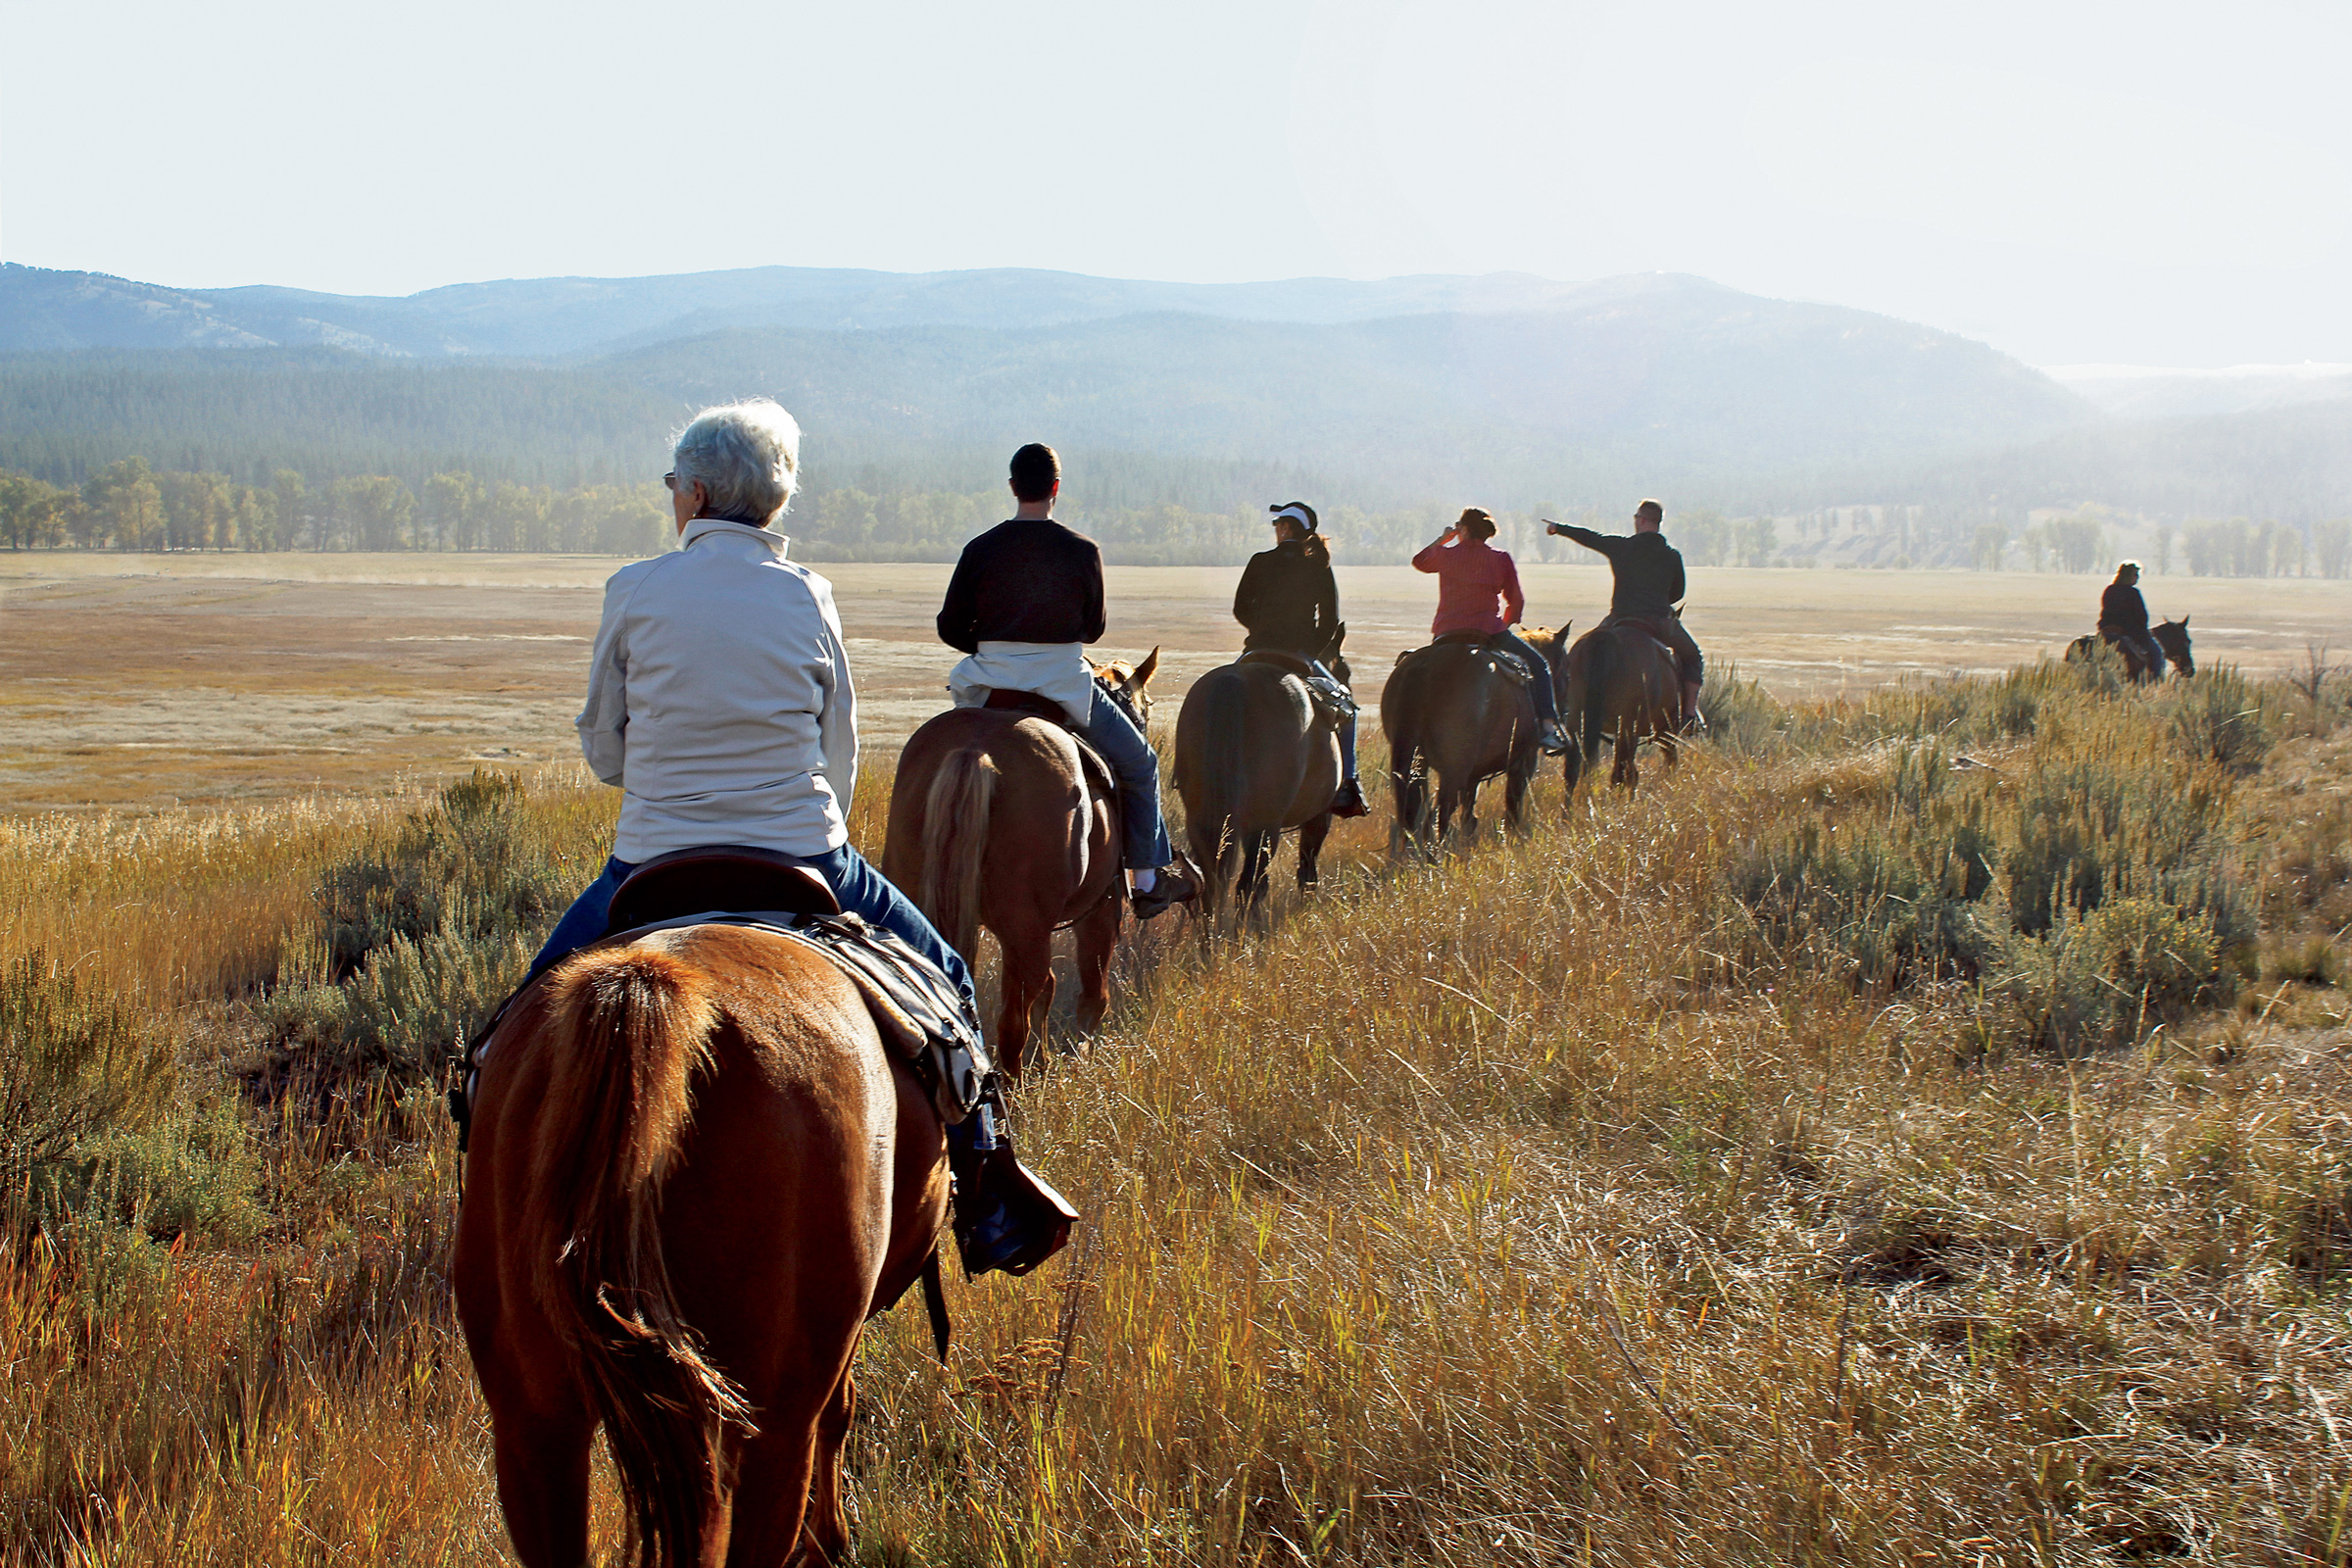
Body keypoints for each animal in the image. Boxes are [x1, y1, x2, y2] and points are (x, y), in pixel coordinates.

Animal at [884, 653, 1156, 1081]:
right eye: (1146, 705)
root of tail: (975, 750)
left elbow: (1050, 991)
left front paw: (1044, 1060)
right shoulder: (1102, 905)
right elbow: (1093, 993)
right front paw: (1078, 1055)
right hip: (1025, 932)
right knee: (1013, 1023)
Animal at [1171, 649, 1354, 926]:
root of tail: (1233, 684)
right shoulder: (1319, 815)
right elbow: (1308, 866)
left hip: (1201, 821)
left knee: (1210, 883)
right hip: (1264, 826)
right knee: (1250, 886)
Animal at [1373, 629, 1561, 859]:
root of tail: (1425, 668)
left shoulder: (1473, 776)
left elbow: (1468, 815)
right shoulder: (1523, 762)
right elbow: (1512, 808)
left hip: (1415, 764)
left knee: (1413, 817)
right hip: (1453, 771)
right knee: (1436, 818)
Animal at [1561, 615, 1693, 789]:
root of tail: (1604, 639)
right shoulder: (1665, 730)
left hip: (1578, 720)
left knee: (1572, 772)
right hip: (1631, 727)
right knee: (1623, 773)